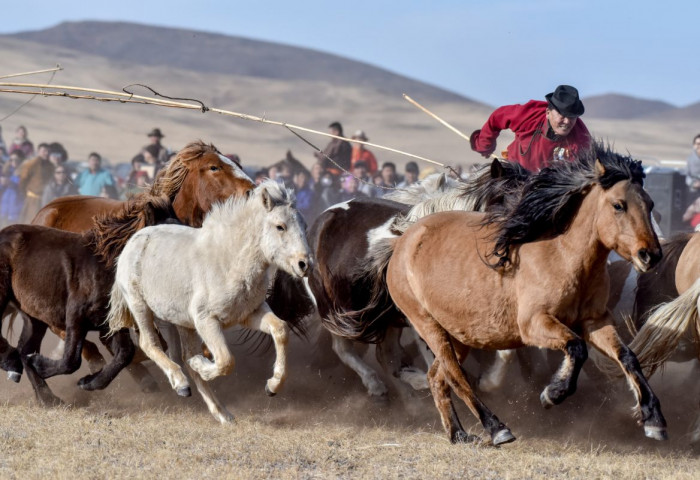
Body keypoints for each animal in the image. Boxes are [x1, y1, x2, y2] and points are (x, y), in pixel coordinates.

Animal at [107, 181, 312, 424]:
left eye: (304, 225)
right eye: (280, 226)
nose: (304, 264)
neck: (229, 262)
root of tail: (133, 242)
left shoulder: (250, 313)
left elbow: (280, 329)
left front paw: (272, 386)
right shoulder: (206, 321)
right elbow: (225, 360)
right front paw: (201, 364)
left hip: (182, 323)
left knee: (182, 356)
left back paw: (221, 413)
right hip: (140, 307)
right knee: (150, 344)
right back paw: (180, 383)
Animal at [334, 144, 668, 444]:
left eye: (651, 205)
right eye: (618, 205)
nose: (650, 255)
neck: (563, 255)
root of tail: (401, 241)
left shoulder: (595, 321)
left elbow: (628, 357)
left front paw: (654, 420)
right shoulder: (534, 324)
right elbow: (576, 348)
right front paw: (553, 393)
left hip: (458, 333)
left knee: (437, 376)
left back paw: (457, 433)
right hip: (428, 325)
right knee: (454, 376)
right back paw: (496, 428)